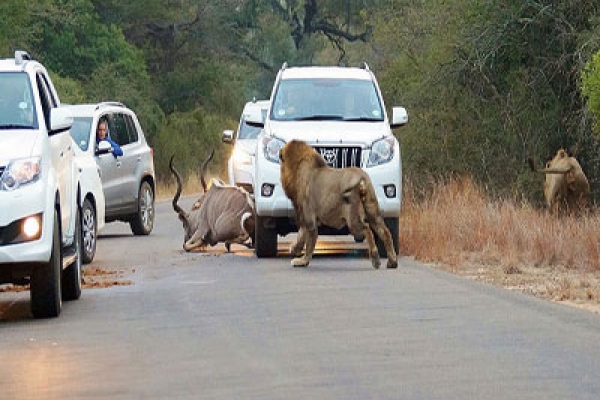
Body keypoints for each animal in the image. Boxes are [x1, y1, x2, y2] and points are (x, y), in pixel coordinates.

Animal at [280, 140, 398, 268]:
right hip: (373, 210)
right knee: (385, 232)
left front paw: (302, 261)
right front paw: (294, 249)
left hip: (352, 218)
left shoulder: (309, 217)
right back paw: (392, 262)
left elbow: (309, 242)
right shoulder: (307, 217)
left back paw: (376, 260)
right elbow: (301, 235)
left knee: (367, 229)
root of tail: (361, 176)